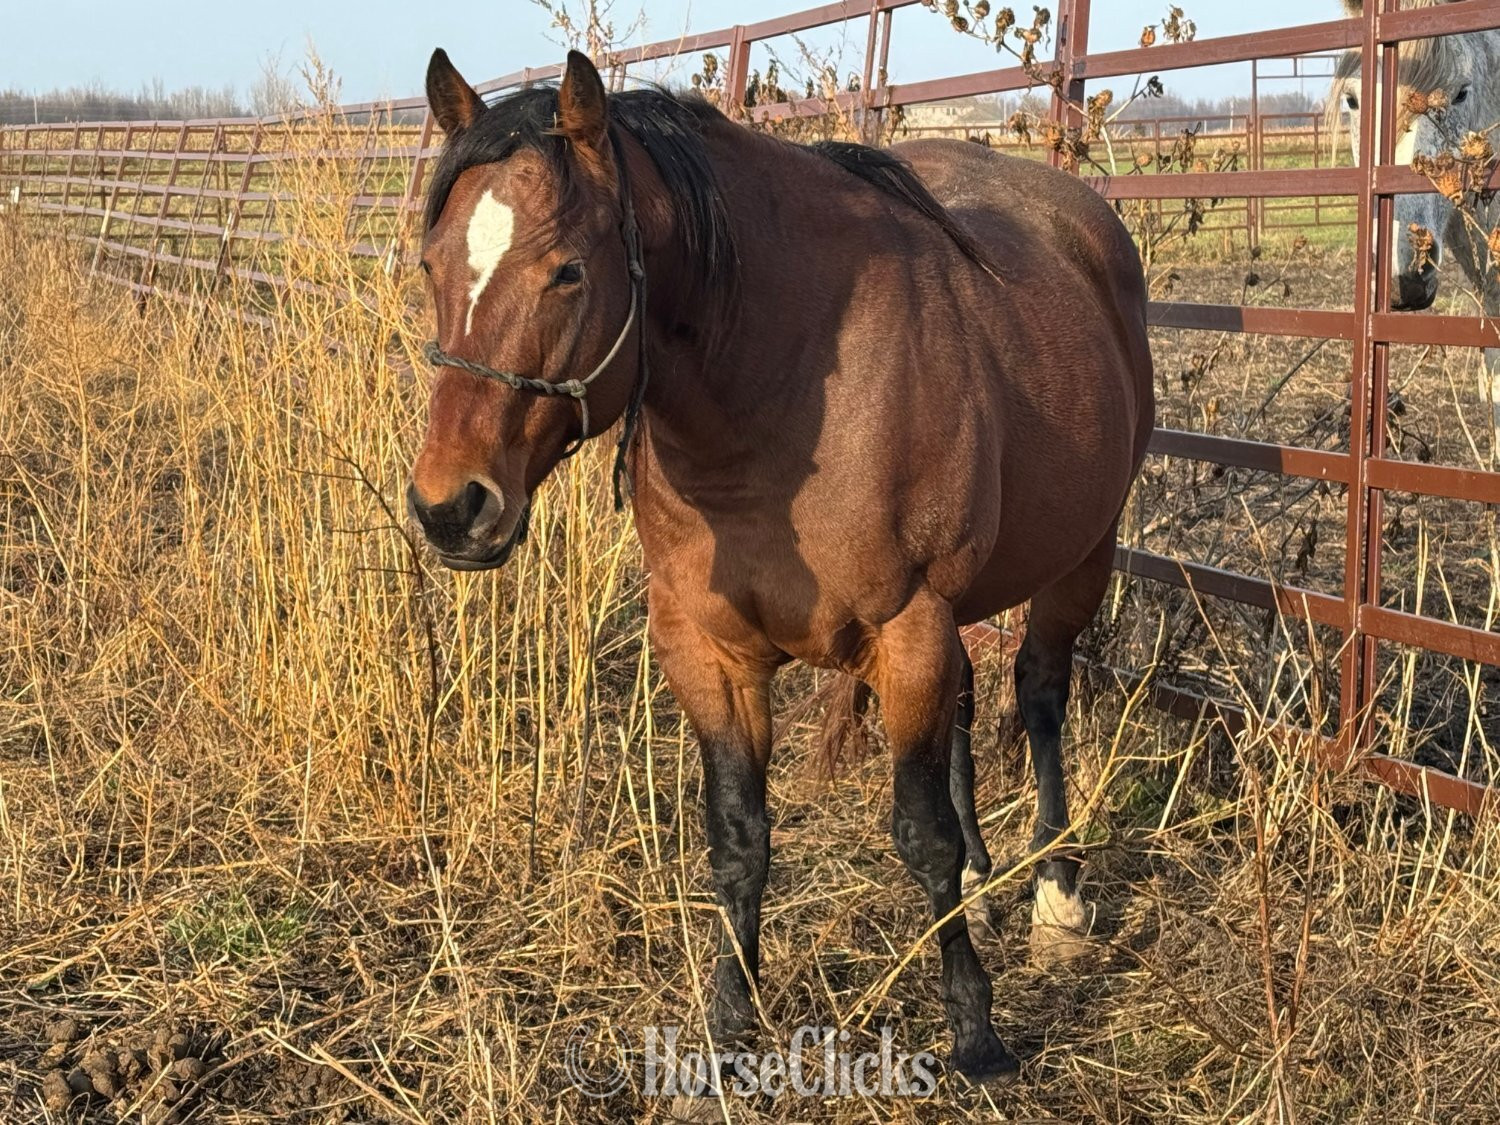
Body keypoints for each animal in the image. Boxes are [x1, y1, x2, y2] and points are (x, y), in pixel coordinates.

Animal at [406, 48, 1154, 1085]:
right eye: (432, 264)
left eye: (567, 269)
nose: (451, 507)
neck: (779, 396)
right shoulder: (707, 652)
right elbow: (738, 839)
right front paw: (729, 1024)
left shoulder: (908, 631)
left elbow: (918, 835)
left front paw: (975, 1030)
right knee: (973, 707)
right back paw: (987, 873)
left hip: (1083, 554)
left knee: (1040, 693)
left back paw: (1055, 888)